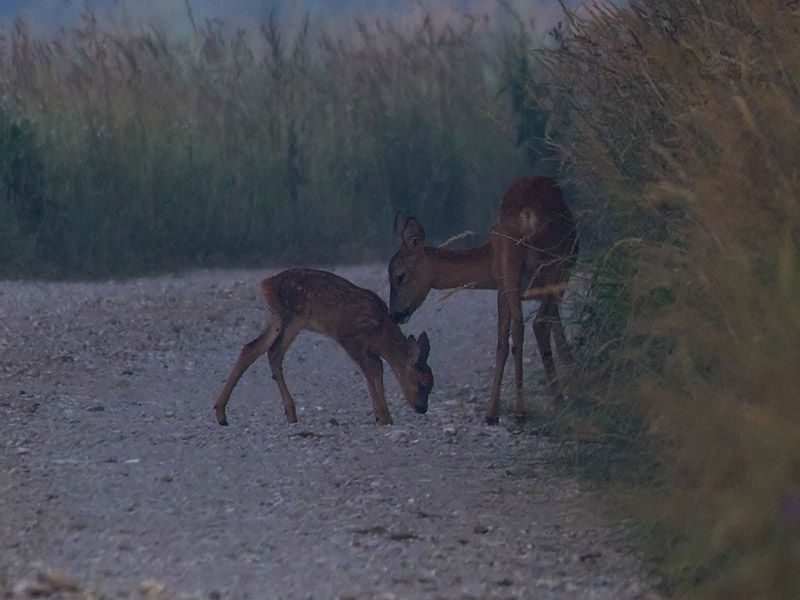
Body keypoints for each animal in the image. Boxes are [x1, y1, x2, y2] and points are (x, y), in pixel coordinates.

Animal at [212, 268, 434, 426]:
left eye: (431, 385)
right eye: (421, 385)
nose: (422, 408)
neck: (381, 334)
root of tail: (266, 283)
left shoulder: (367, 347)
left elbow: (377, 368)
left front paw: (383, 415)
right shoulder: (348, 336)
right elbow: (373, 368)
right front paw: (383, 417)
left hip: (278, 318)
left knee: (252, 348)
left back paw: (222, 413)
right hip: (295, 317)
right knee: (274, 353)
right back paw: (289, 413)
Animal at [388, 176, 576, 424]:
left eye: (400, 276)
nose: (395, 313)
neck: (487, 257)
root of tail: (527, 214)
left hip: (526, 267)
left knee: (523, 328)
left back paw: (520, 408)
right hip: (541, 266)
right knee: (530, 326)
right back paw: (534, 406)